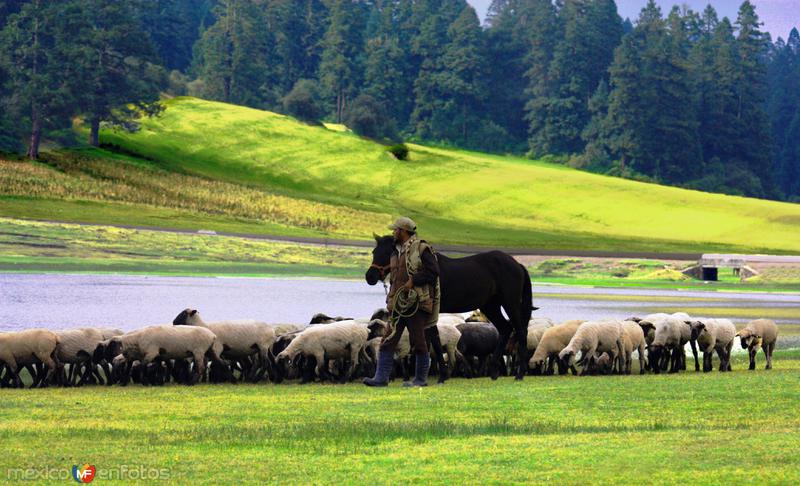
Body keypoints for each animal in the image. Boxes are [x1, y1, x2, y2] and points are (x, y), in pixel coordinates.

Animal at [368, 235, 536, 380]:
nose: (370, 276)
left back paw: (519, 374)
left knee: (521, 331)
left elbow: (433, 342)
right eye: (374, 252)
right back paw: (494, 371)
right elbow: (428, 341)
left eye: (386, 253)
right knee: (505, 329)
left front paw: (440, 375)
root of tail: (517, 264)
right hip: (490, 305)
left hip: (510, 303)